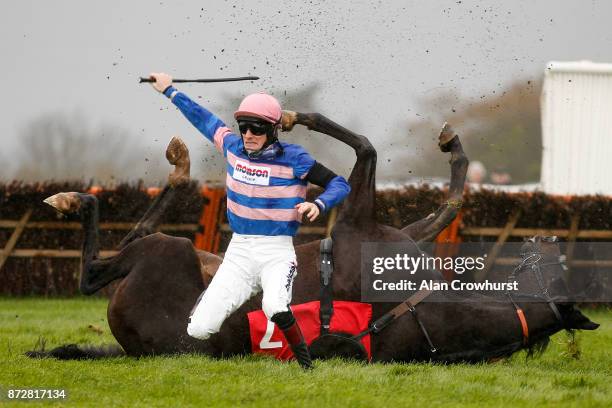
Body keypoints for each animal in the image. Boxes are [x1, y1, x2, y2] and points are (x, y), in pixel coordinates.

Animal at [29, 112, 596, 364]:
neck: (414, 309)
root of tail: (132, 346)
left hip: (166, 254)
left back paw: (89, 195)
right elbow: (447, 200)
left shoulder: (362, 227)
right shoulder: (393, 233)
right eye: (555, 270)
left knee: (96, 269)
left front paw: (295, 119)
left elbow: (366, 149)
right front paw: (453, 145)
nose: (547, 244)